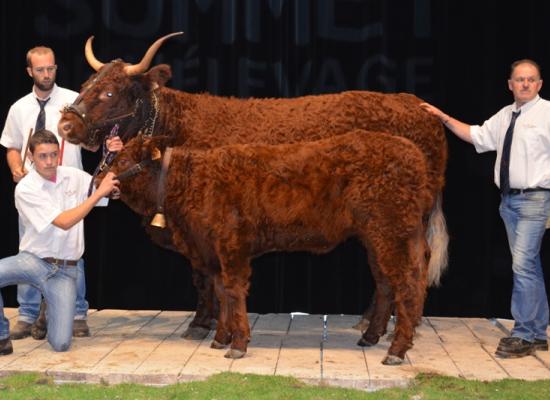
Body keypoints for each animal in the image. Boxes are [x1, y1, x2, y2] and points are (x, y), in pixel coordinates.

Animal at [59, 34, 448, 340]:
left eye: (110, 92)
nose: (65, 125)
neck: (177, 126)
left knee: (409, 263)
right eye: (85, 85)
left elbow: (204, 276)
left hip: (402, 219)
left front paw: (201, 324)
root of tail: (416, 105)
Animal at [99, 129, 444, 366]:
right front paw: (221, 338)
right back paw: (371, 336)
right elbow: (221, 291)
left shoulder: (231, 245)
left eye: (124, 160)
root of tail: (410, 151)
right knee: (389, 282)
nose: (100, 181)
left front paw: (238, 344)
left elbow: (233, 290)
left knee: (406, 285)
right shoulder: (213, 250)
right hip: (380, 237)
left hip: (391, 232)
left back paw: (396, 350)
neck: (192, 182)